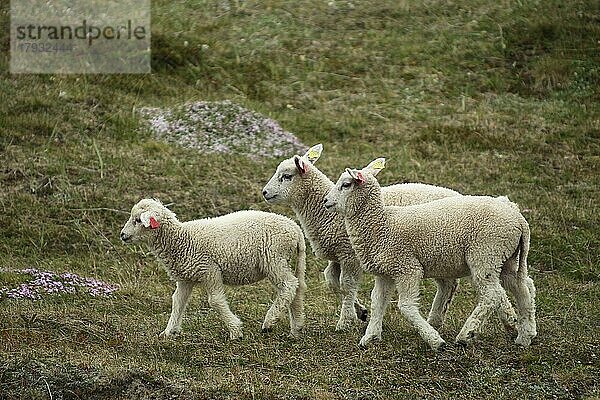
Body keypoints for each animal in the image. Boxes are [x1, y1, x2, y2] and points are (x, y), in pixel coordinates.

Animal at [119, 198, 308, 340]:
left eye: (137, 220)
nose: (122, 235)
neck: (182, 239)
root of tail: (296, 230)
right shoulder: (186, 278)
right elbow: (177, 301)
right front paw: (169, 331)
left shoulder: (209, 269)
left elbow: (215, 301)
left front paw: (235, 331)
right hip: (286, 260)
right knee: (296, 288)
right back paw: (296, 328)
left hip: (274, 258)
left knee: (289, 286)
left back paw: (269, 321)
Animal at [326, 159, 536, 350]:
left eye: (346, 184)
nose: (326, 202)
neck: (382, 224)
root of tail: (519, 220)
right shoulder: (385, 273)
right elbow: (377, 303)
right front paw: (370, 337)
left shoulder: (408, 268)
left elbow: (406, 306)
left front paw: (434, 340)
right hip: (507, 258)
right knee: (521, 289)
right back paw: (524, 337)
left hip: (485, 254)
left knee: (492, 294)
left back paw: (466, 334)